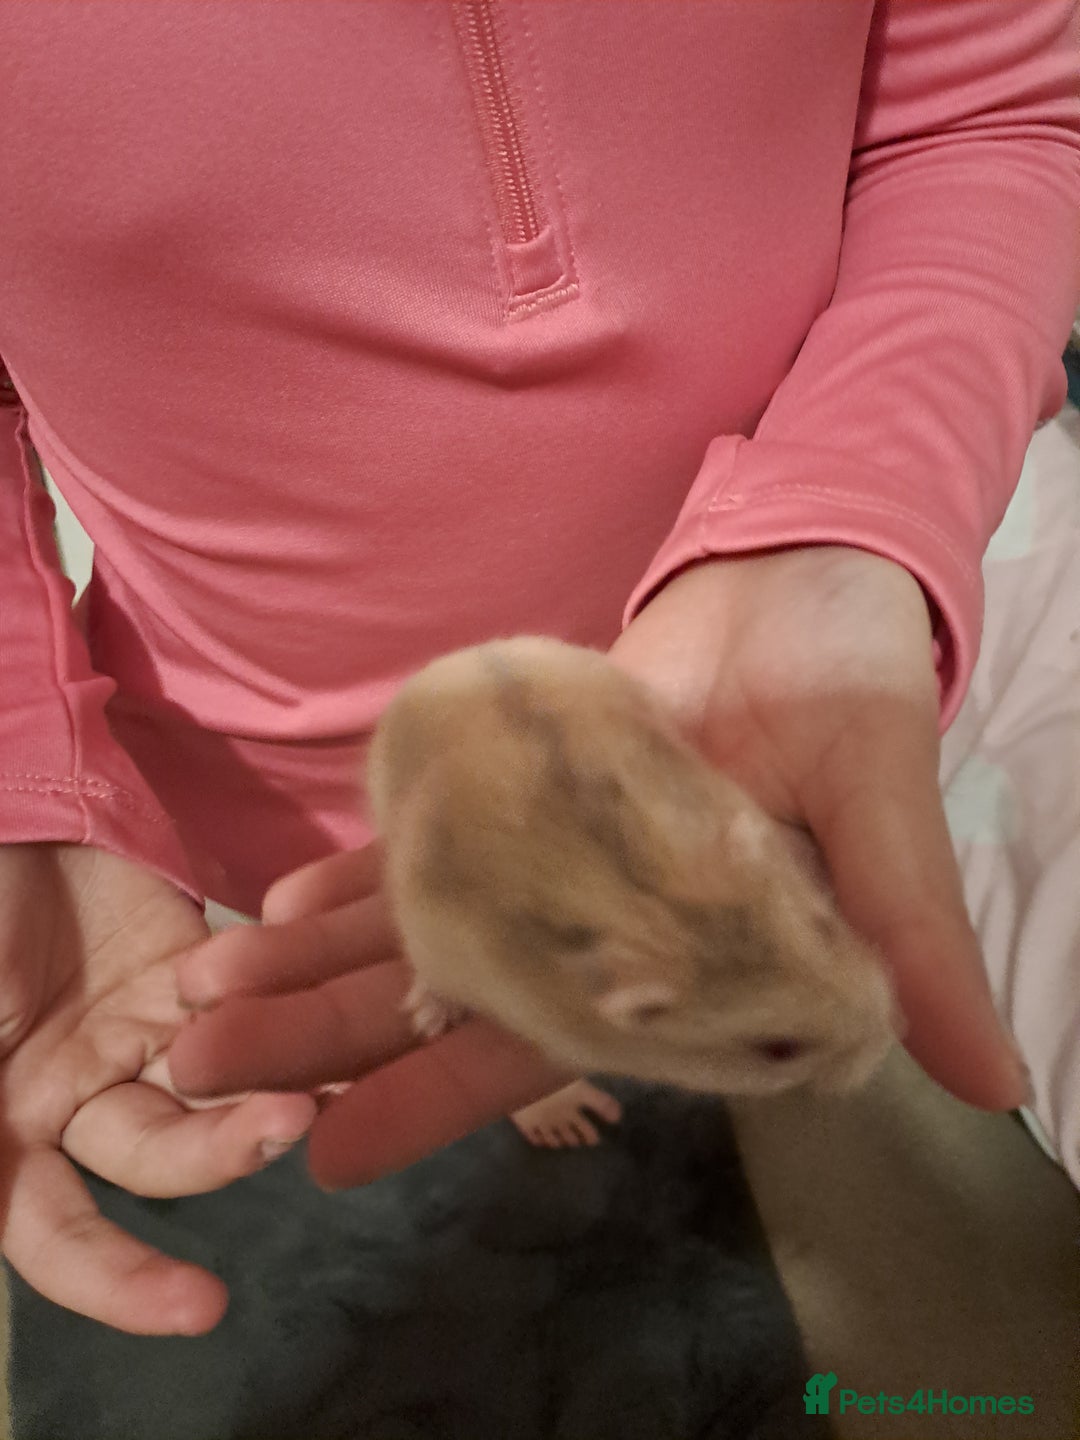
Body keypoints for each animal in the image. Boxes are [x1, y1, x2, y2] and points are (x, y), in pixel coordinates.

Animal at [366, 637, 898, 1098]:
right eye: (779, 1050)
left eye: (825, 924)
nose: (894, 1034)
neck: (654, 904)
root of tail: (469, 652)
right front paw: (426, 1021)